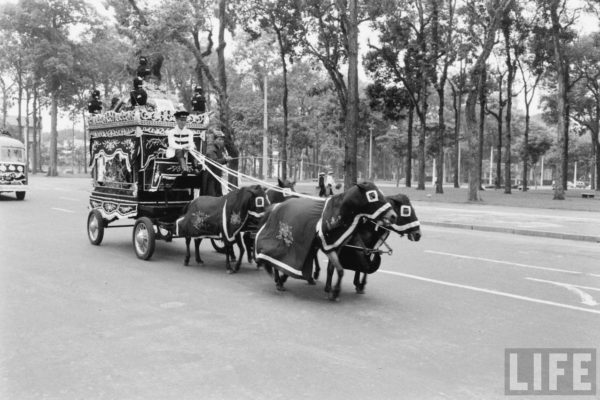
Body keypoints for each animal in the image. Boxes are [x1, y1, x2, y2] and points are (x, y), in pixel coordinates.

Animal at [254, 182, 398, 300]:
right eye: (372, 195)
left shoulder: (335, 246)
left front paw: (329, 288)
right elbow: (340, 269)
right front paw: (335, 292)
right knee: (274, 259)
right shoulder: (327, 246)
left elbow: (333, 269)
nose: (393, 216)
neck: (338, 214)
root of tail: (276, 206)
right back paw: (279, 282)